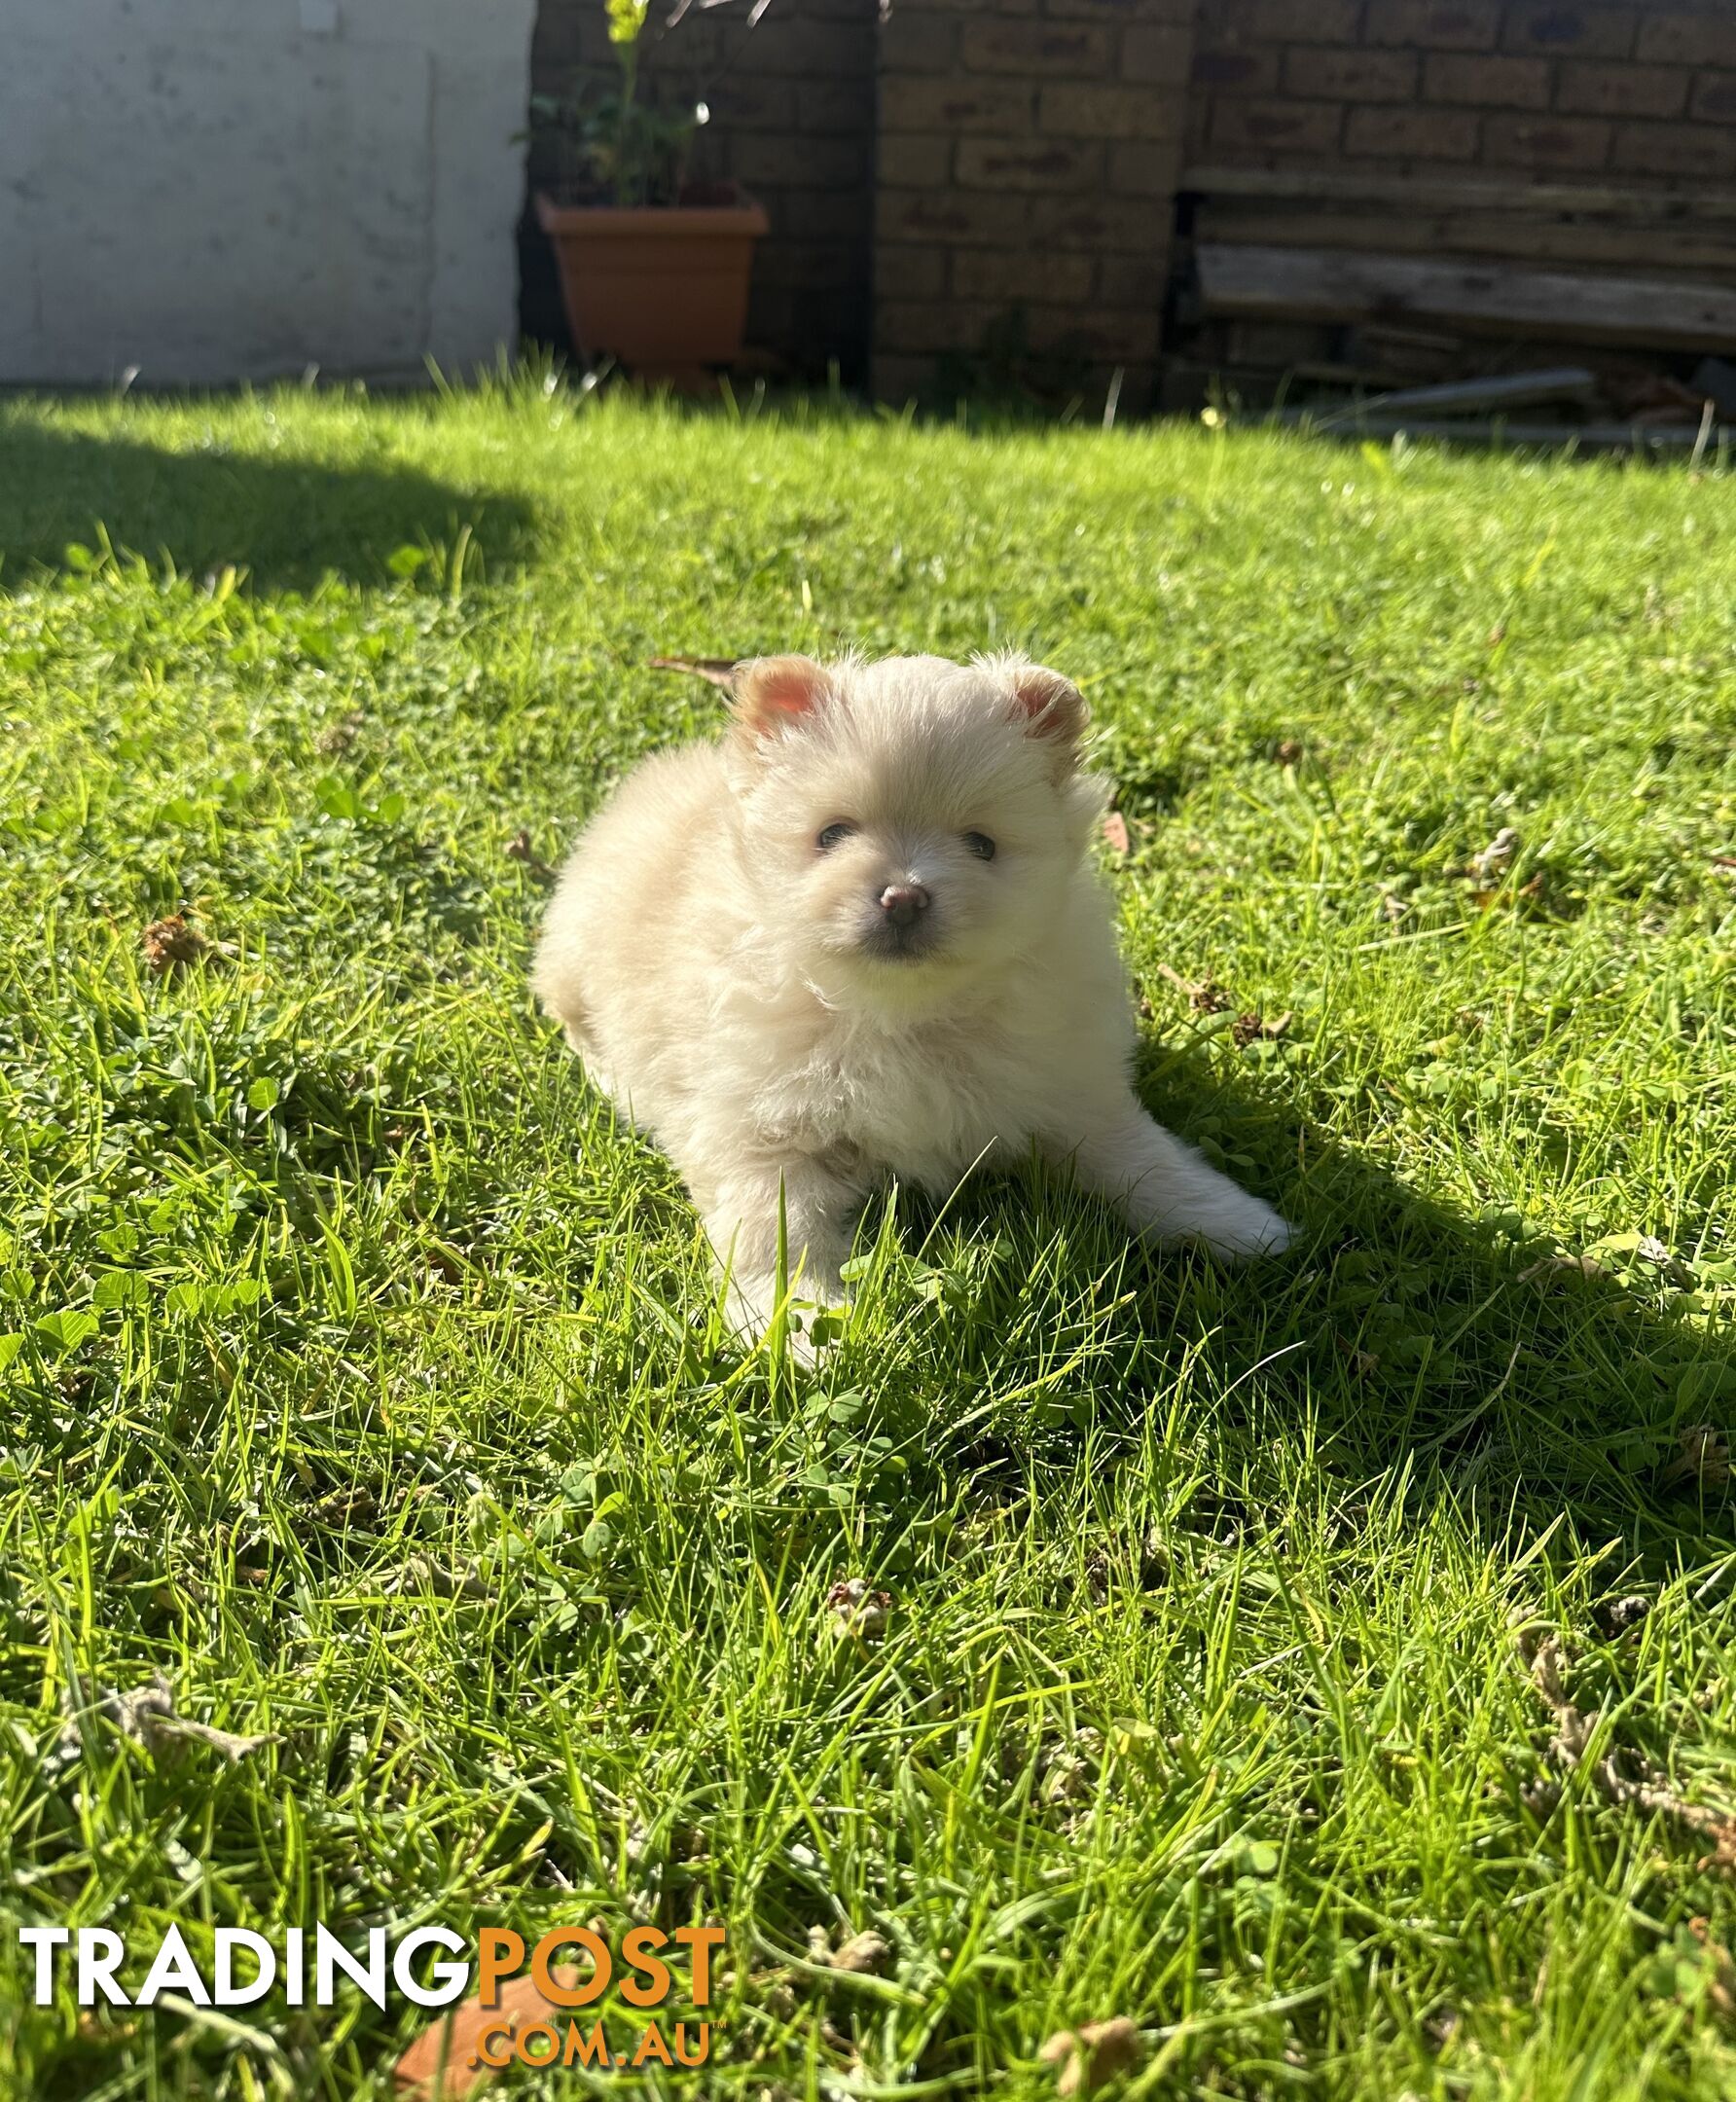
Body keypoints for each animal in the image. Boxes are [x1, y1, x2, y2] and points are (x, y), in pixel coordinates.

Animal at [533, 647, 1294, 1336]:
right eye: (832, 834)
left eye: (982, 845)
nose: (904, 895)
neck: (900, 1014)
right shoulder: (757, 1131)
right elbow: (776, 1233)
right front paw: (800, 1329)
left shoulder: (1070, 1089)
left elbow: (1142, 1159)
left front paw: (1239, 1225)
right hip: (574, 959)